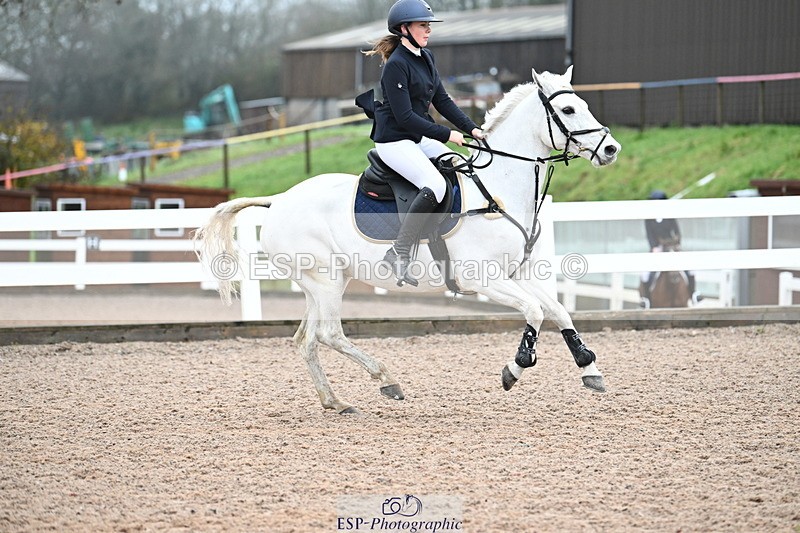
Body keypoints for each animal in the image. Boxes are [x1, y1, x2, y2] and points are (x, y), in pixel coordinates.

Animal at [195, 67, 621, 414]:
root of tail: (279, 199)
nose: (611, 149)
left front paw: (589, 366)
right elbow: (534, 312)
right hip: (325, 280)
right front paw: (515, 367)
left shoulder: (519, 274)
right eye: (568, 111)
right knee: (330, 334)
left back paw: (335, 401)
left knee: (307, 340)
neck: (497, 189)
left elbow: (559, 311)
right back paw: (387, 380)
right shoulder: (482, 279)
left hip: (320, 284)